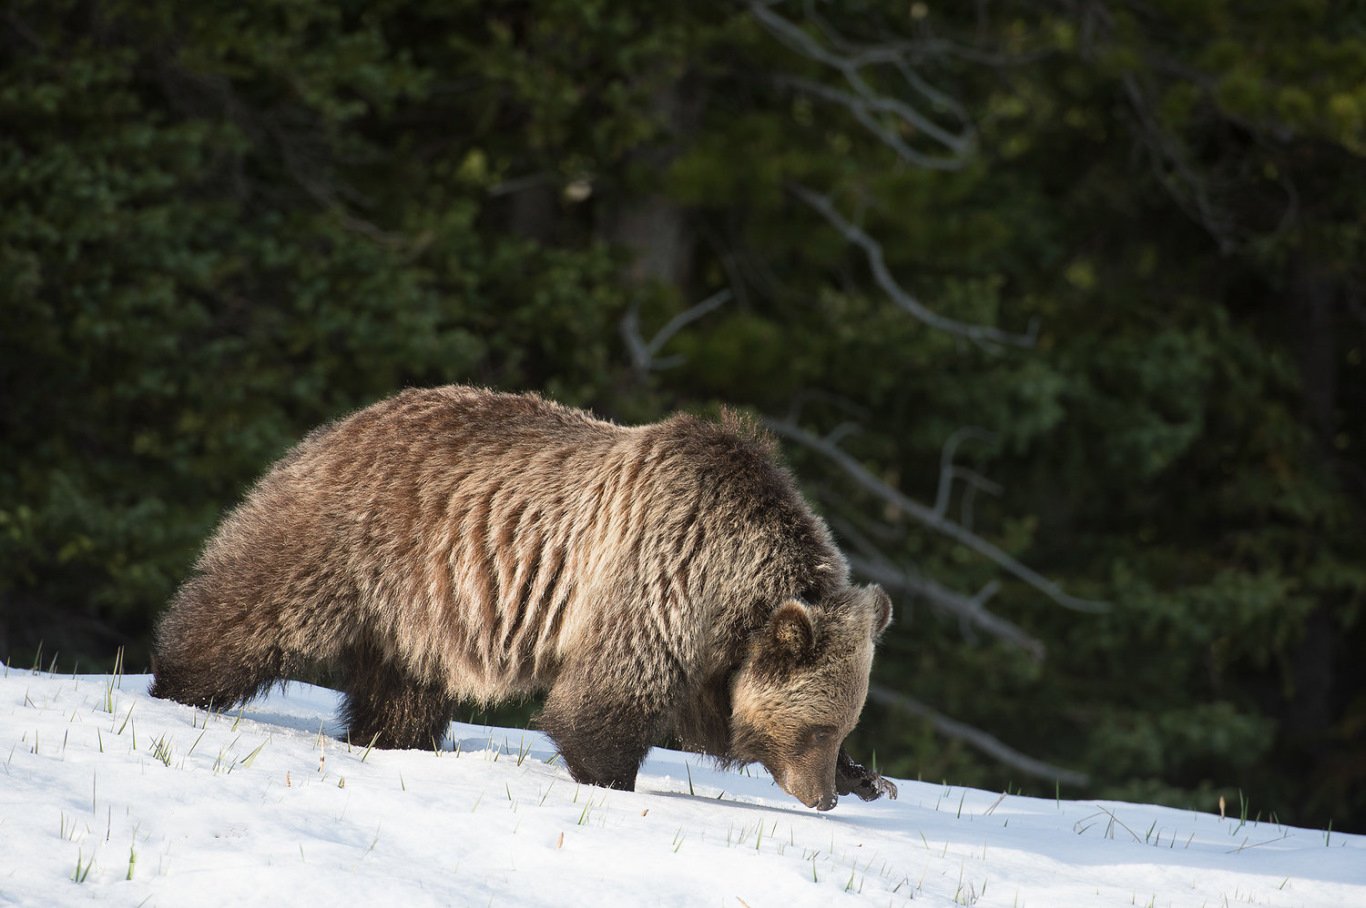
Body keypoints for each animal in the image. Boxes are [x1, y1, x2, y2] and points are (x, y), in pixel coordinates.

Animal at [150, 386, 897, 810]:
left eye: (843, 728)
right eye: (816, 728)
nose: (823, 798)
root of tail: (341, 424)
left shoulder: (709, 646)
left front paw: (874, 780)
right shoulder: (658, 579)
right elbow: (602, 703)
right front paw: (611, 782)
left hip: (418, 612)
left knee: (403, 691)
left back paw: (392, 742)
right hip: (352, 540)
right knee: (252, 609)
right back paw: (174, 684)